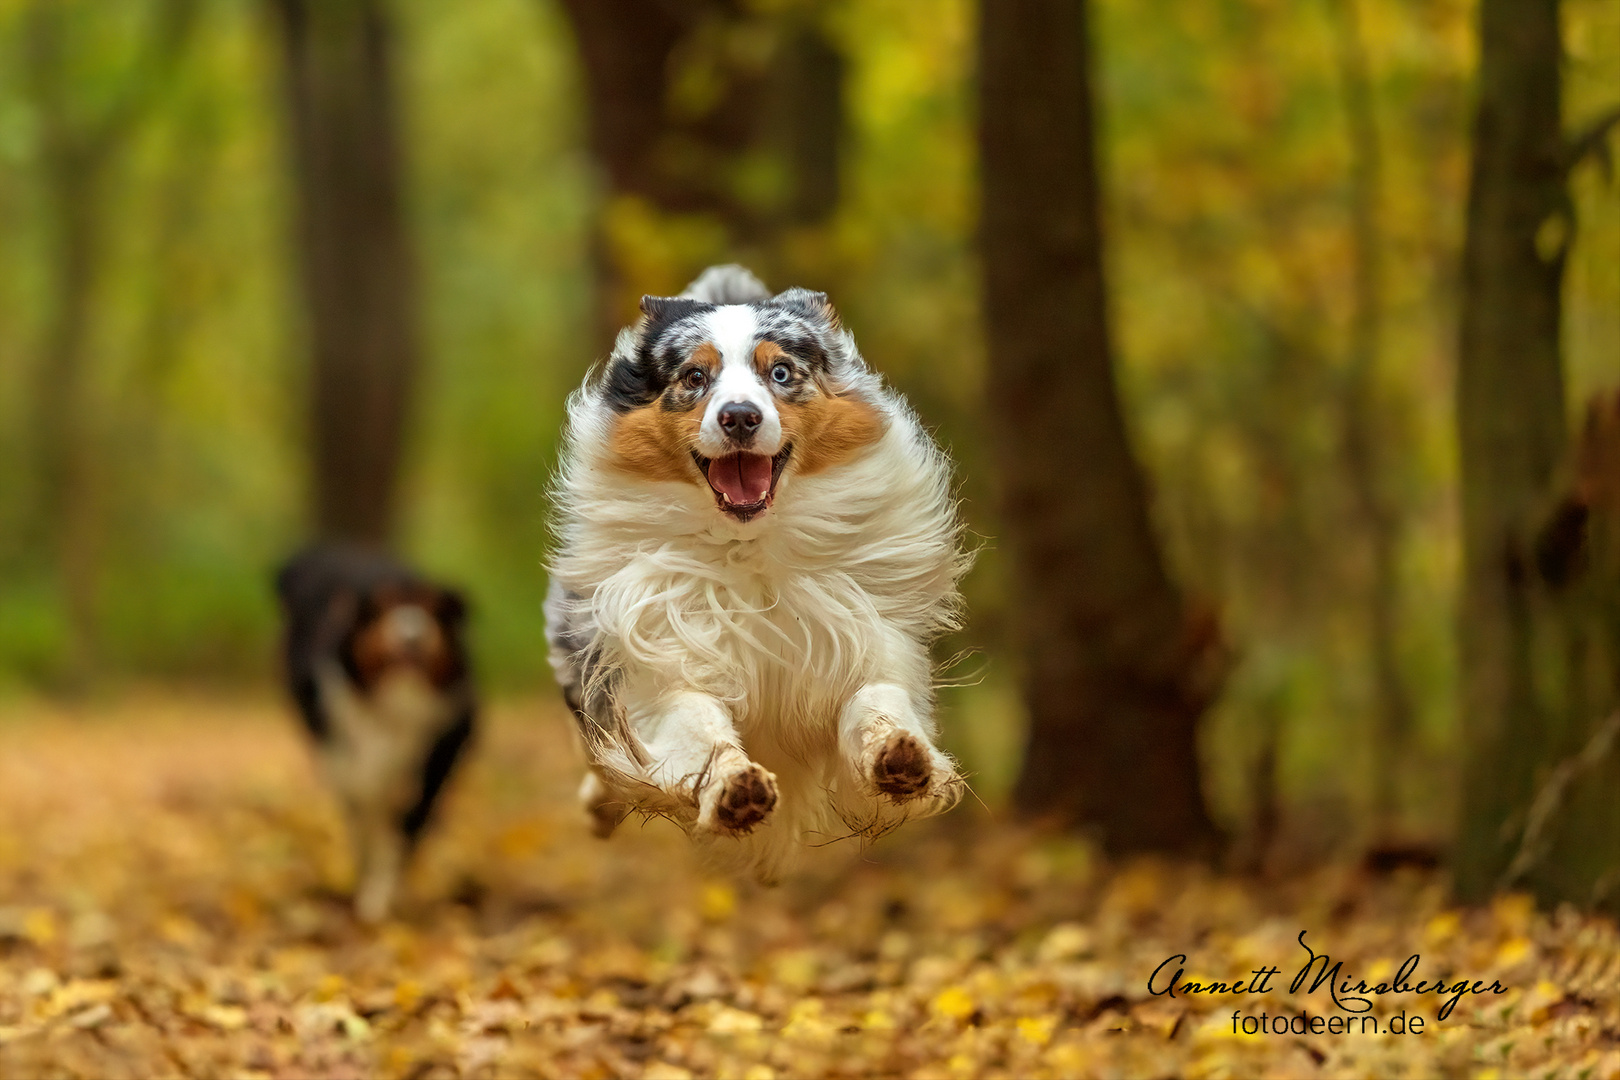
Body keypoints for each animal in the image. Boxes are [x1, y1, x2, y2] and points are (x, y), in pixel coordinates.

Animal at [272, 544, 473, 926]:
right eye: (383, 606)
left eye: (431, 608)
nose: (413, 636)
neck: (395, 702)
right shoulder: (349, 762)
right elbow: (366, 819)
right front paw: (369, 891)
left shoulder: (435, 759)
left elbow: (403, 834)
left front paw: (379, 899)